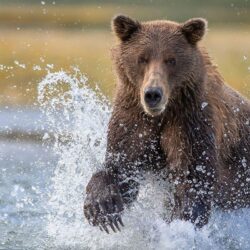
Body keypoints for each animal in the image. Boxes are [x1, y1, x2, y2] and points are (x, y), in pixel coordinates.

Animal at [84, 14, 250, 233]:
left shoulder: (191, 122)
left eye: (171, 60)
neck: (164, 113)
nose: (153, 94)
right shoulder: (134, 120)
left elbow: (193, 180)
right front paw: (102, 207)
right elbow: (122, 167)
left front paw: (180, 223)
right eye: (142, 58)